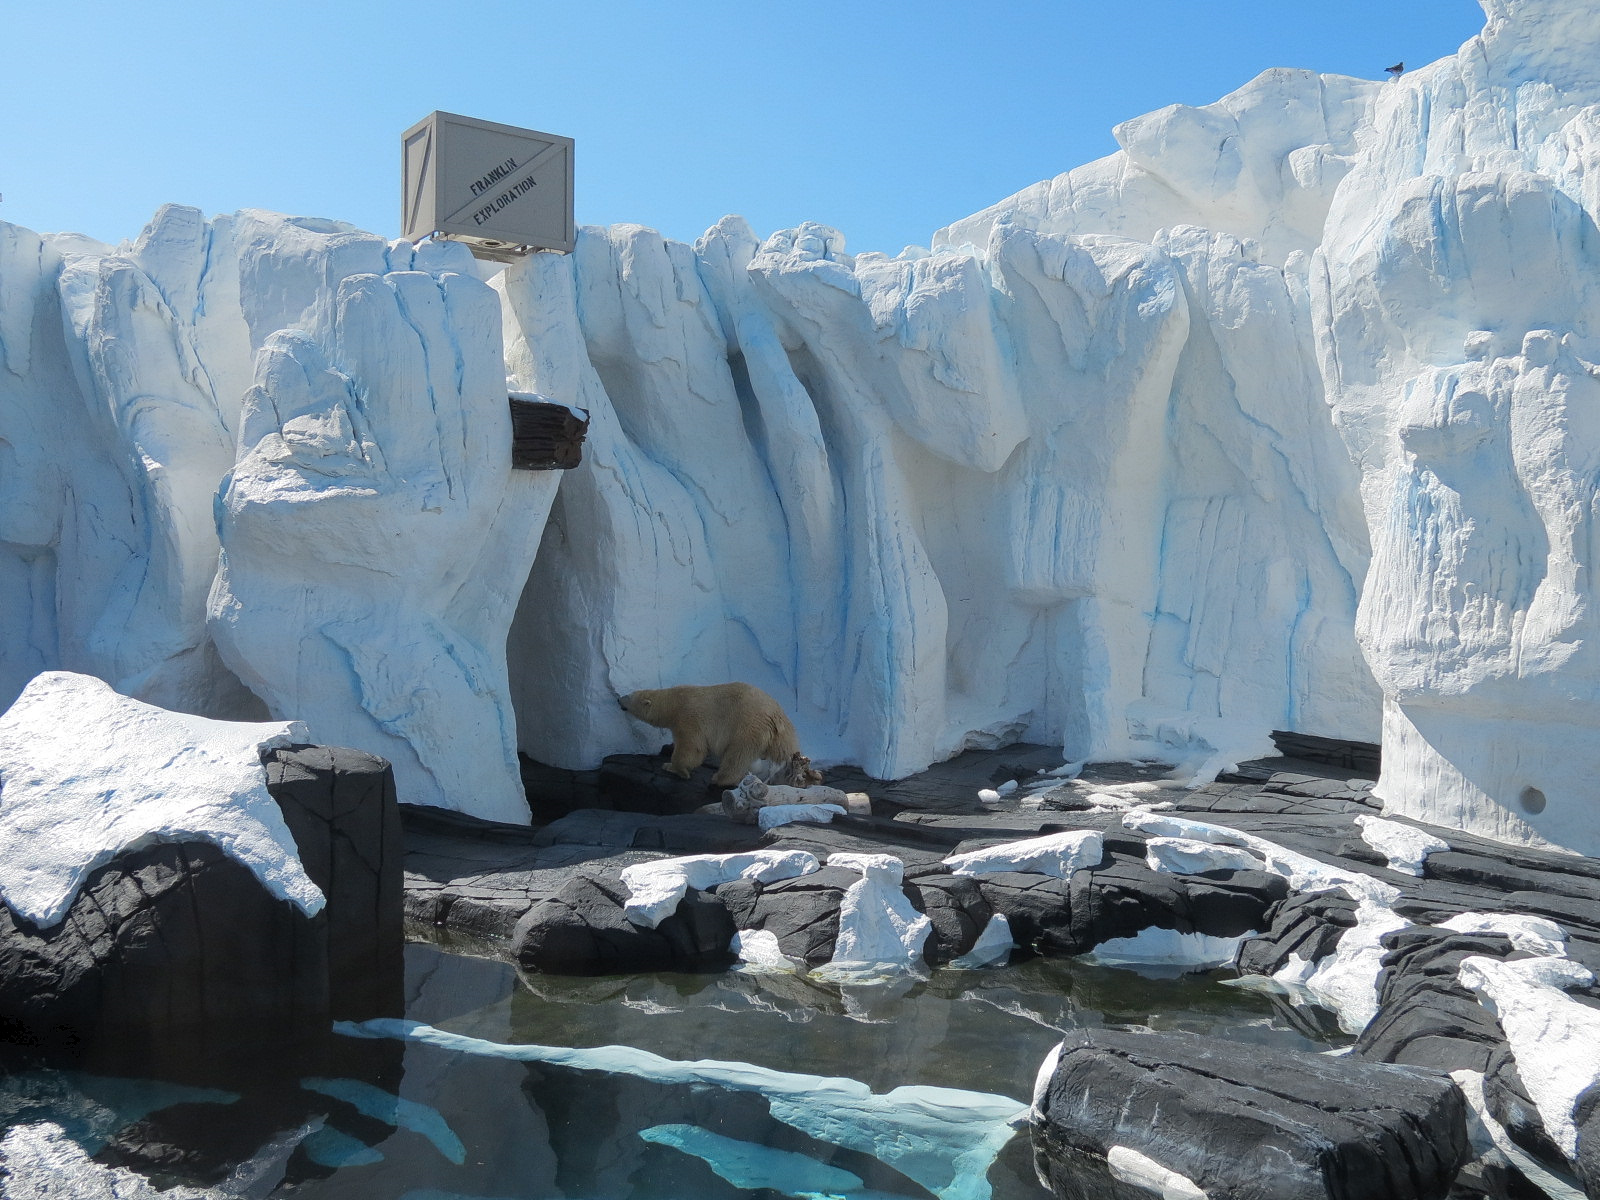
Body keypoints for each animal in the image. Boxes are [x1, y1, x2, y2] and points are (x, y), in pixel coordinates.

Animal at [617, 682, 822, 789]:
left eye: (627, 696)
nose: (618, 699)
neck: (675, 700)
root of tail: (774, 717)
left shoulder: (689, 718)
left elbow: (693, 748)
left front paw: (673, 767)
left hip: (748, 727)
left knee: (737, 755)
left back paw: (720, 778)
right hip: (784, 732)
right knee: (786, 751)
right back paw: (804, 775)